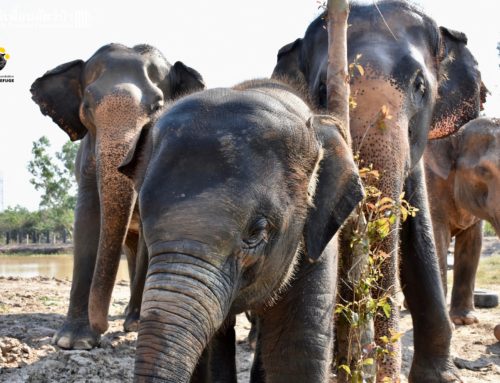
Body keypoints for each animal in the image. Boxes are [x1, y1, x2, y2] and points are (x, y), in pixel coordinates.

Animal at [29, 43, 204, 350]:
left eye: (157, 107)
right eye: (87, 106)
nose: (102, 327)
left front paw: (131, 325)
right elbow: (86, 219)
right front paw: (73, 341)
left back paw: (132, 318)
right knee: (130, 247)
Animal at [426, 116, 500, 324]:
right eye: (483, 170)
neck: (455, 135)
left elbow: (473, 244)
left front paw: (465, 320)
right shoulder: (431, 187)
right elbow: (437, 239)